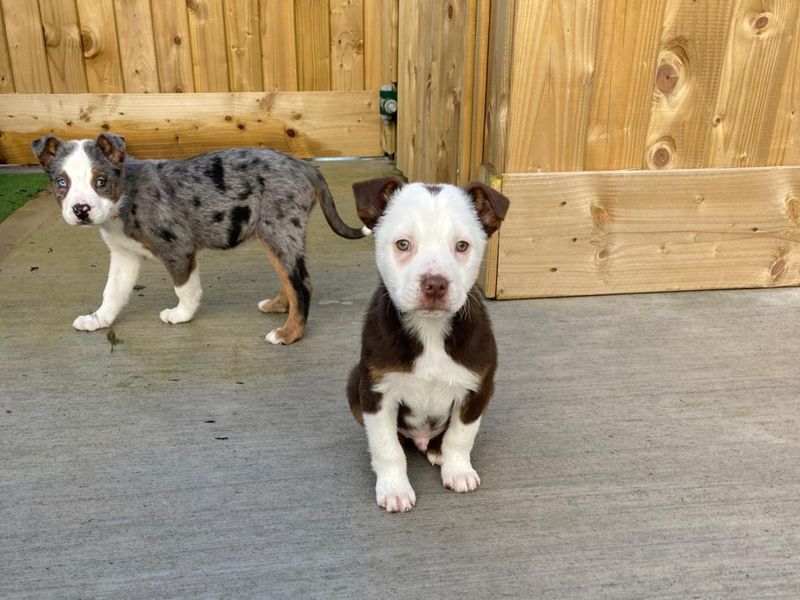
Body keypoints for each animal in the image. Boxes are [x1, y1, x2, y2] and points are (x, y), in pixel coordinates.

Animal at [31, 133, 368, 344]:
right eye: (62, 183)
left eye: (100, 182)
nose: (81, 210)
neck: (124, 194)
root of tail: (305, 166)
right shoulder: (124, 256)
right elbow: (112, 293)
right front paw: (98, 319)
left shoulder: (178, 248)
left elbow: (185, 289)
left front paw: (181, 316)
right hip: (273, 234)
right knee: (291, 279)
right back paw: (278, 306)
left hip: (280, 229)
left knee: (302, 283)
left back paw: (288, 334)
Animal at [346, 177, 510, 510]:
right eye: (403, 244)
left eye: (461, 246)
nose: (435, 284)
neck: (430, 331)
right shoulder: (376, 392)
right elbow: (386, 447)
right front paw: (394, 488)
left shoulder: (478, 388)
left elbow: (460, 436)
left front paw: (457, 470)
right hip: (354, 381)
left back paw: (436, 451)